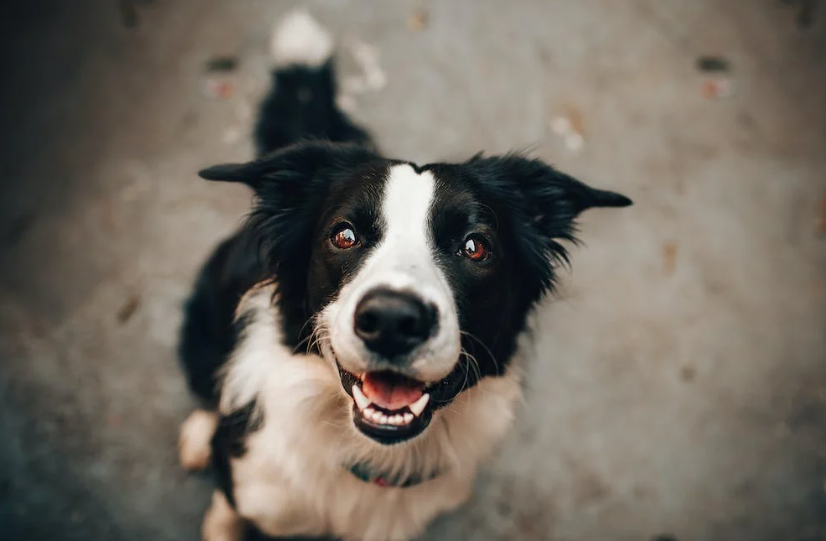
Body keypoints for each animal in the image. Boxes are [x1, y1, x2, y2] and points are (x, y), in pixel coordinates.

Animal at [179, 9, 632, 540]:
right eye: (344, 235)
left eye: (475, 247)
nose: (393, 321)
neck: (371, 455)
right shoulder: (251, 485)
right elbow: (227, 512)